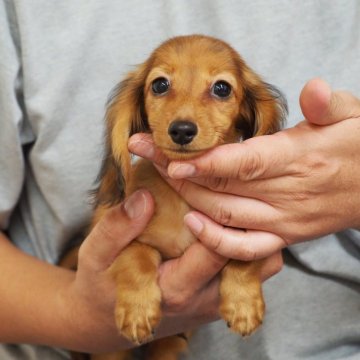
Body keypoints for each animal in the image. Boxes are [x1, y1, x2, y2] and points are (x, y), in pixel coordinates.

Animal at [69, 34, 286, 360]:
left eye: (222, 88)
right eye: (160, 84)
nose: (182, 130)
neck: (181, 199)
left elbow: (243, 254)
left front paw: (243, 303)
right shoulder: (121, 231)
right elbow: (137, 256)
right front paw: (138, 309)